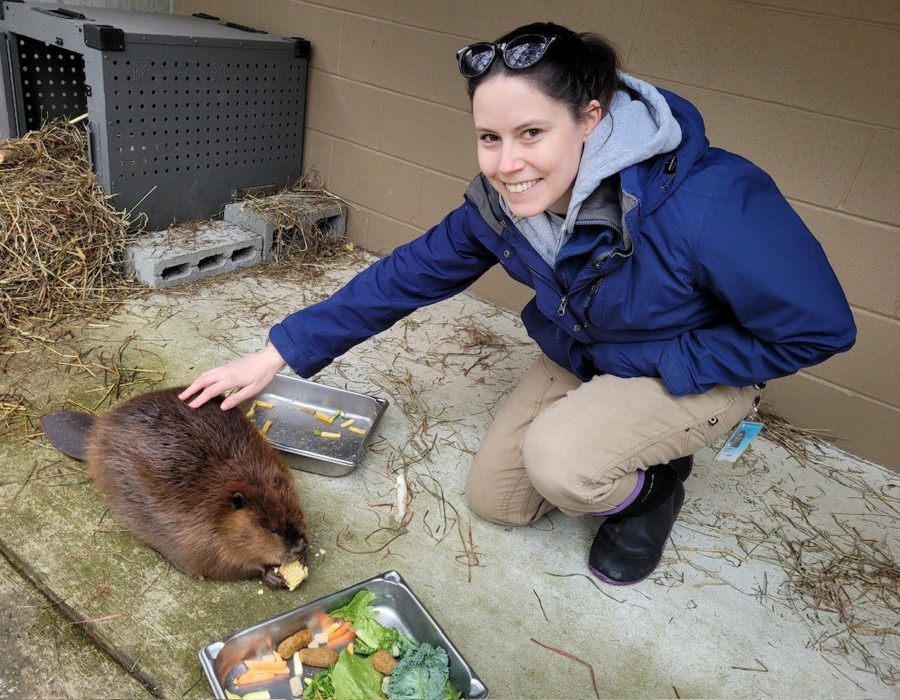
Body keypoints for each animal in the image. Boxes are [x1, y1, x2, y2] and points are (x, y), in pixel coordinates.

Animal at [41, 386, 310, 588]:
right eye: (273, 529)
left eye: (298, 513)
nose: (299, 546)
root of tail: (93, 437)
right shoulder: (198, 535)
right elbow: (223, 565)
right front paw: (272, 574)